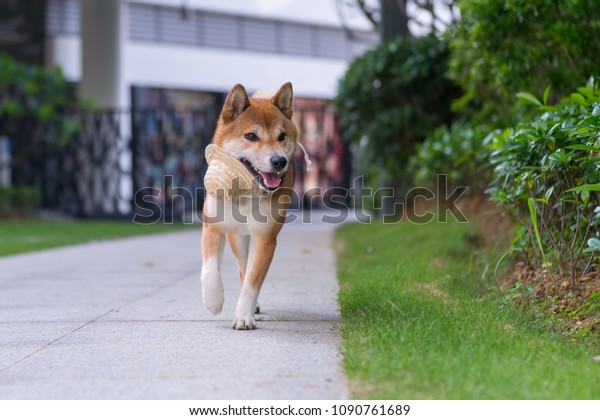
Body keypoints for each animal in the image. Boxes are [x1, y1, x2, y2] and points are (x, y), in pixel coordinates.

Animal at [200, 82, 296, 330]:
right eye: (251, 136)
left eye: (282, 136)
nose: (279, 161)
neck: (245, 195)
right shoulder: (213, 227)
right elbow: (210, 270)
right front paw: (213, 301)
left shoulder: (265, 238)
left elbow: (252, 282)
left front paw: (244, 315)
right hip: (237, 237)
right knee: (242, 266)